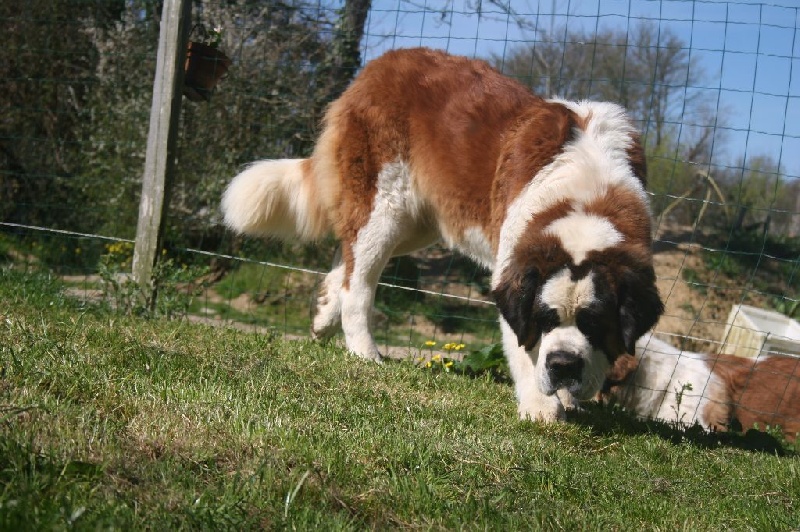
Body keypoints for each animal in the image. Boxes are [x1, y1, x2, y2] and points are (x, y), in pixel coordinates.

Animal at [220, 47, 664, 422]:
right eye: (545, 318)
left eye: (595, 323)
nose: (564, 366)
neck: (588, 195)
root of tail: (380, 64)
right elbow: (524, 347)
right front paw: (541, 406)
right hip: (386, 207)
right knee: (359, 284)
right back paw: (364, 351)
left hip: (414, 224)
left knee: (347, 263)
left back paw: (325, 315)